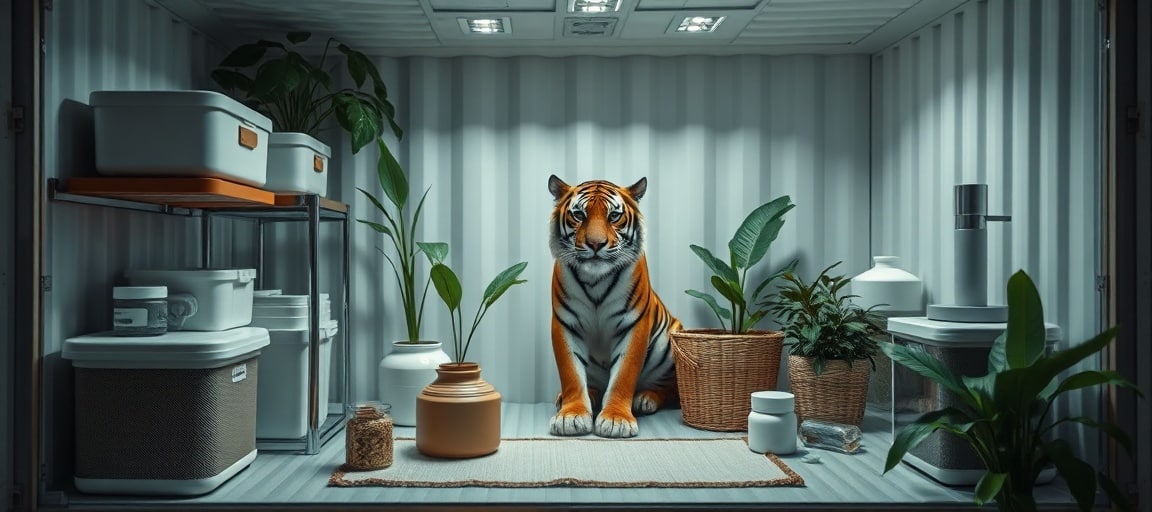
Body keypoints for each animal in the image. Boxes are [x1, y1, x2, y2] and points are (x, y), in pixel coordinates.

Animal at [547, 175, 681, 438]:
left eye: (614, 216)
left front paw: (616, 420)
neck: (595, 281)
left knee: (672, 388)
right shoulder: (565, 323)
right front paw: (571, 416)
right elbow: (571, 373)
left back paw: (646, 399)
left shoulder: (635, 324)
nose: (595, 244)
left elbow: (623, 376)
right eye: (579, 215)